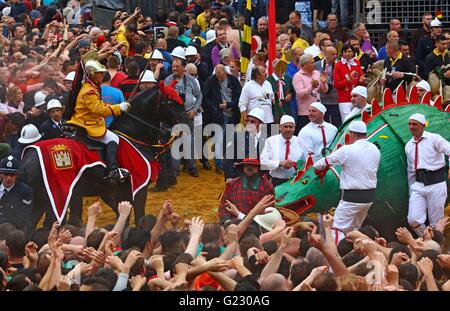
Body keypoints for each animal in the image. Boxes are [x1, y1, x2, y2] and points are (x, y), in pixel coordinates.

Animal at [22, 84, 184, 230]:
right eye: (170, 102)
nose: (184, 120)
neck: (133, 137)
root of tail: (27, 158)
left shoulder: (120, 192)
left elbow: (124, 220)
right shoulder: (138, 188)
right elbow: (138, 218)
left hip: (42, 198)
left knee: (29, 226)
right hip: (54, 198)